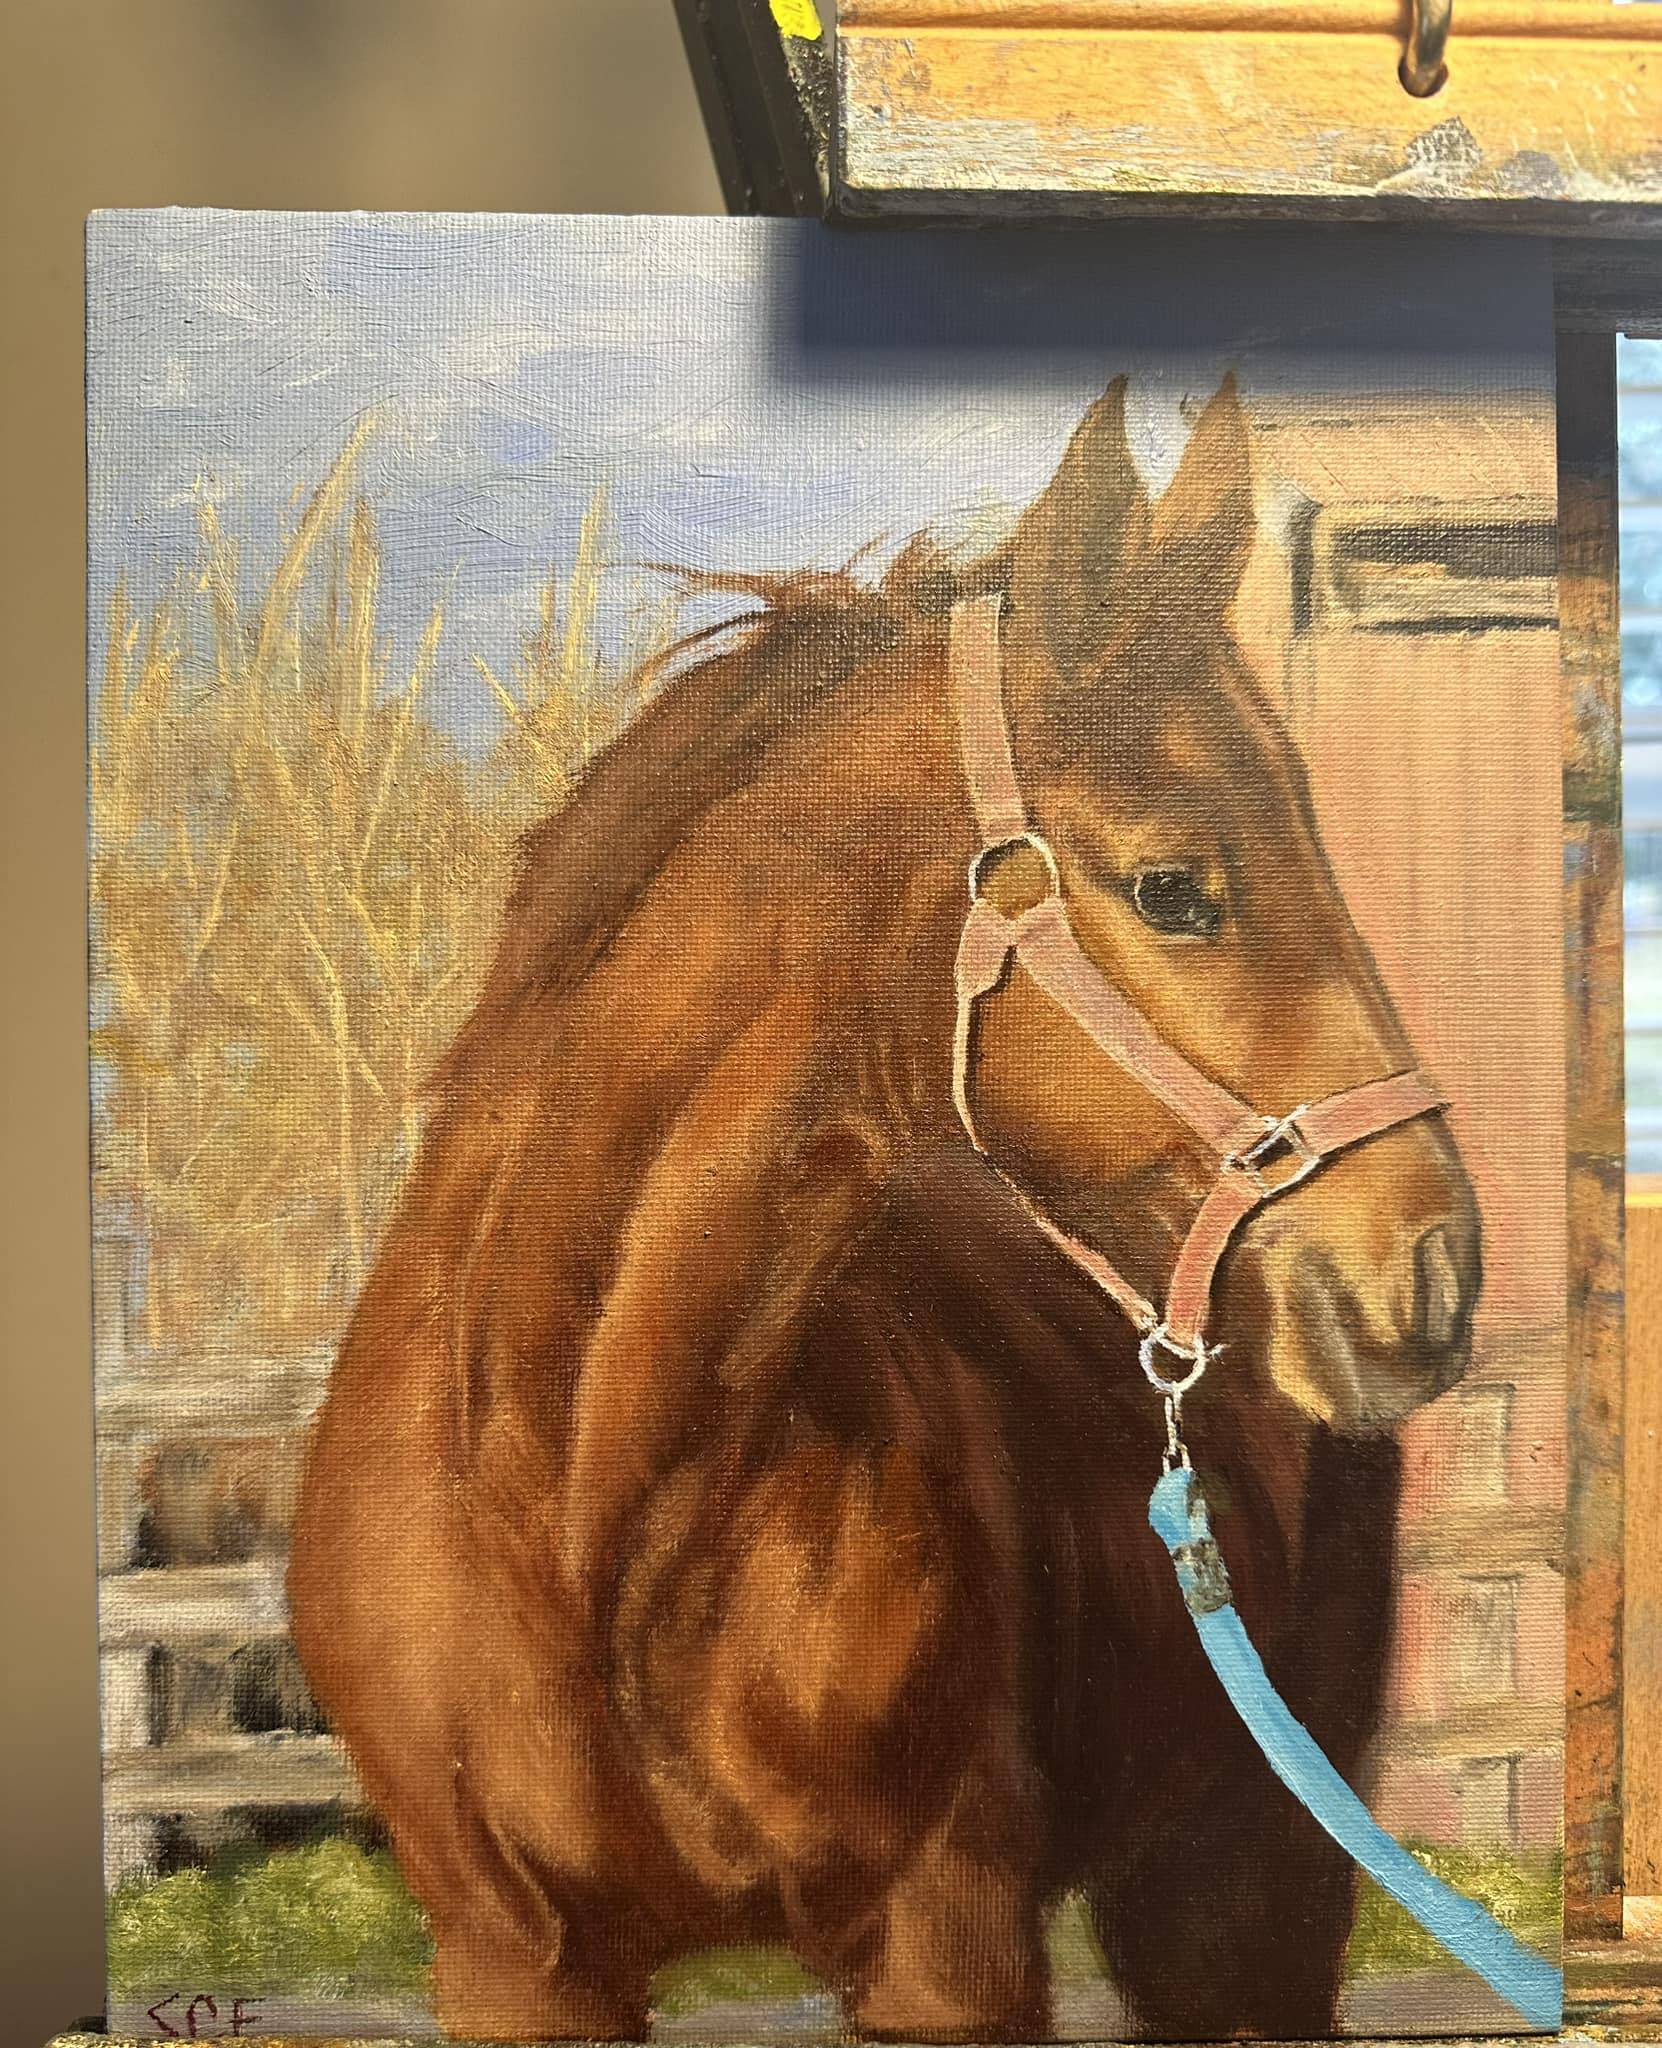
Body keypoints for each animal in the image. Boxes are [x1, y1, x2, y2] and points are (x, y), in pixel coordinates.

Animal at [288, 373, 1480, 2044]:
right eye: (1174, 887)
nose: (1431, 1269)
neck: (582, 1501)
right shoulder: (512, 1964)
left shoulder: (945, 1942)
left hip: (1250, 1892)